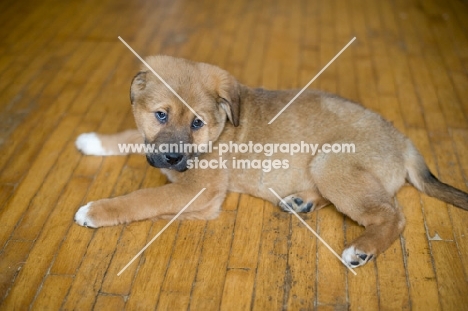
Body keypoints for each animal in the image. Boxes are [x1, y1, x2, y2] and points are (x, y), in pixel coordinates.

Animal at [74, 55, 468, 268]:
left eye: (197, 123)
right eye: (160, 115)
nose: (172, 157)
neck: (220, 129)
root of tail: (403, 140)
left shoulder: (197, 191)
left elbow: (141, 199)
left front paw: (96, 210)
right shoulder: (151, 143)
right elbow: (129, 135)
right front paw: (94, 141)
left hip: (330, 161)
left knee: (392, 216)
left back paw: (362, 249)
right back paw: (301, 200)